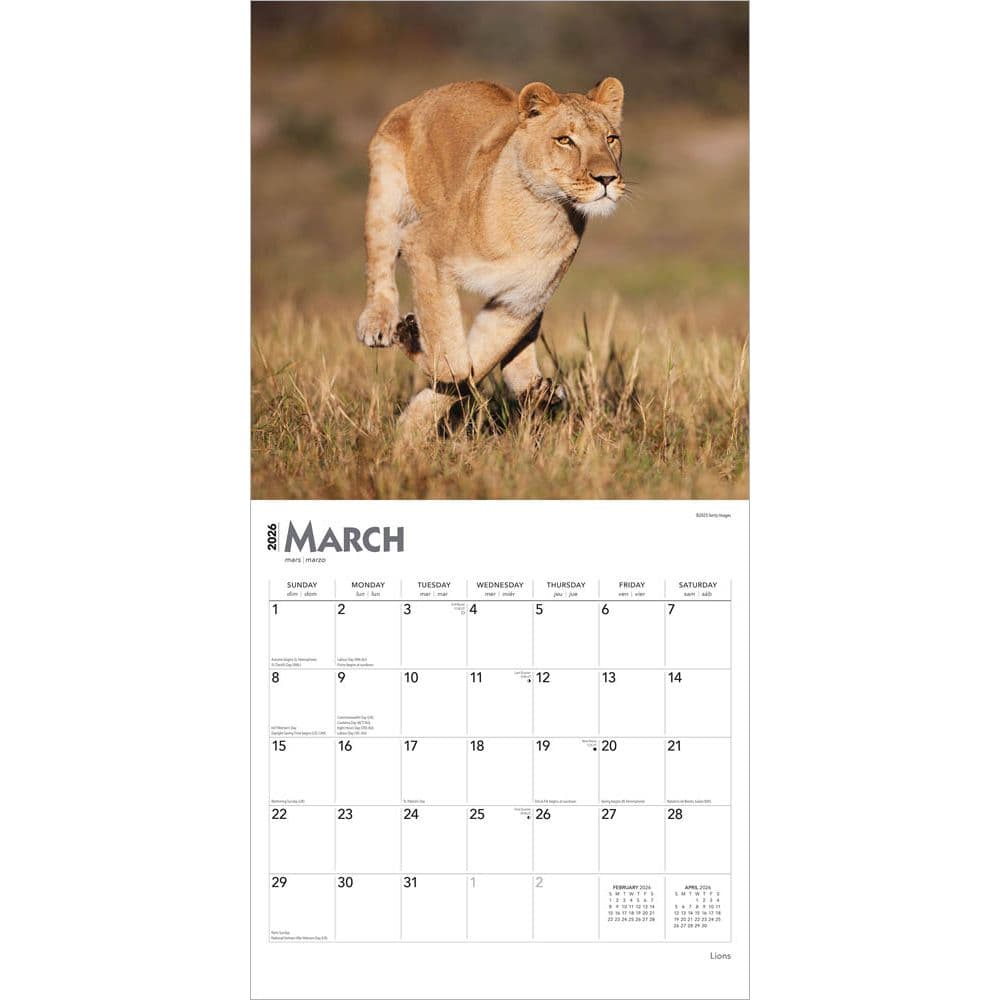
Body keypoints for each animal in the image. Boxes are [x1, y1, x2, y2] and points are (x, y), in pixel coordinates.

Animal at [355, 77, 626, 435]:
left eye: (611, 138)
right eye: (565, 140)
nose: (607, 178)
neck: (541, 215)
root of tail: (423, 96)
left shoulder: (519, 302)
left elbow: (476, 363)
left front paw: (410, 430)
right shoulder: (425, 246)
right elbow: (456, 363)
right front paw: (410, 336)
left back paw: (537, 391)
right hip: (387, 193)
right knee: (380, 263)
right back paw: (379, 322)